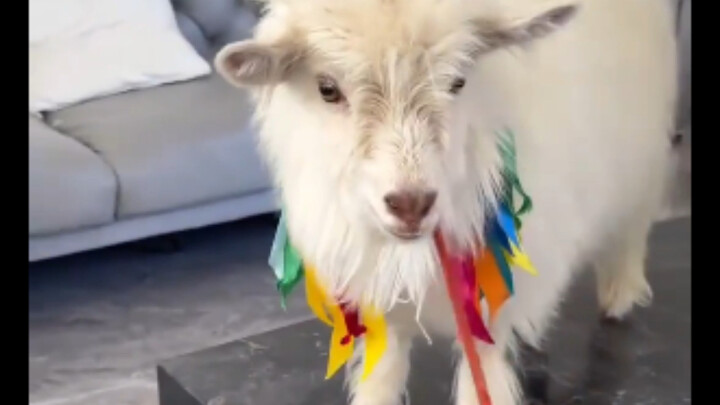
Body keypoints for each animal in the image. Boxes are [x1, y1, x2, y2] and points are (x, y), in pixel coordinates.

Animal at [215, 0, 678, 403]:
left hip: (641, 149)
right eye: (327, 88)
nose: (411, 204)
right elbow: (381, 373)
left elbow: (483, 380)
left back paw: (620, 295)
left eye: (458, 82)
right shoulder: (376, 295)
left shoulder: (493, 301)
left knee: (631, 226)